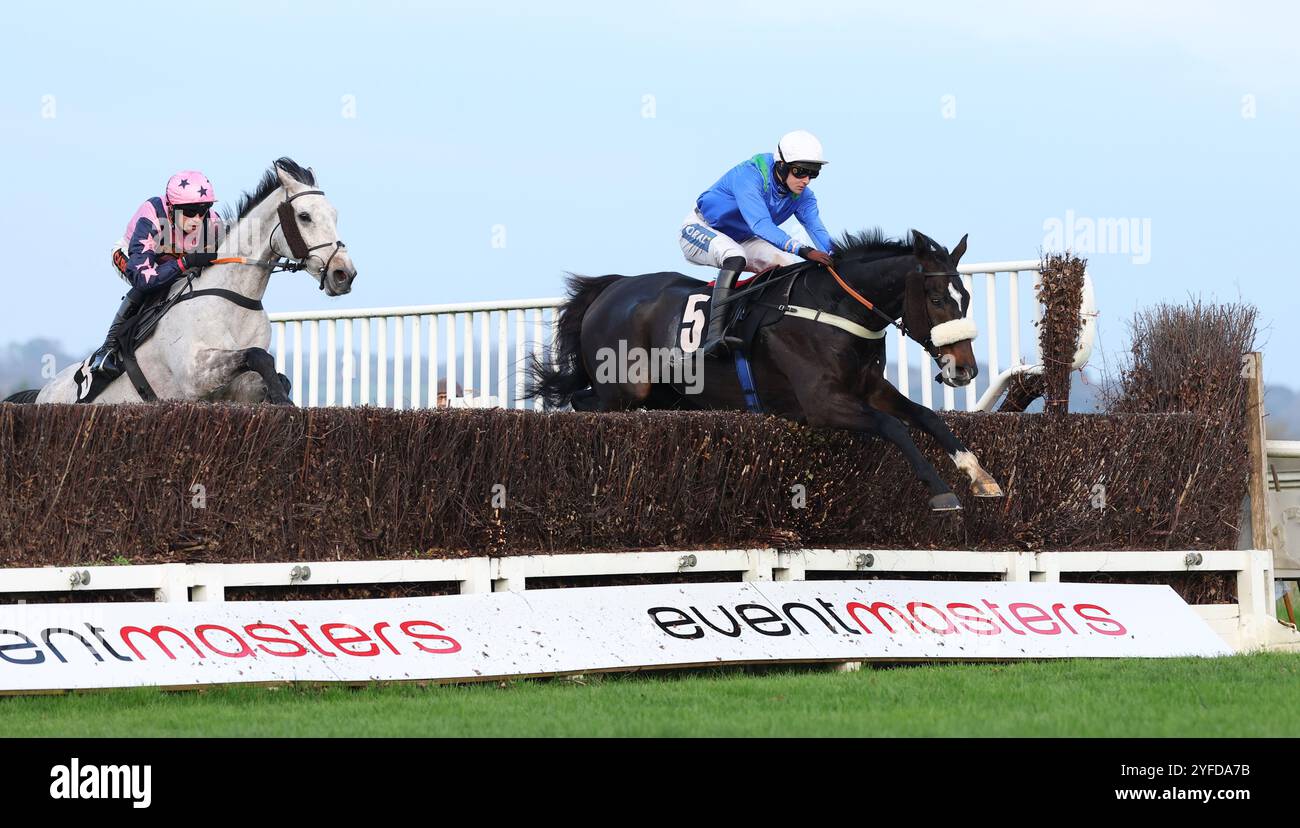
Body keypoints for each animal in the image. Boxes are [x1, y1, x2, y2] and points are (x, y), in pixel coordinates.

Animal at [527, 227, 1003, 509]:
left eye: (966, 298)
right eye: (938, 299)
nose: (965, 370)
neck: (835, 309)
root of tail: (612, 288)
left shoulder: (870, 389)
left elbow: (925, 417)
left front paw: (981, 476)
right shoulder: (822, 404)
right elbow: (895, 427)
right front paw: (941, 491)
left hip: (666, 393)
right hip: (625, 389)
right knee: (584, 401)